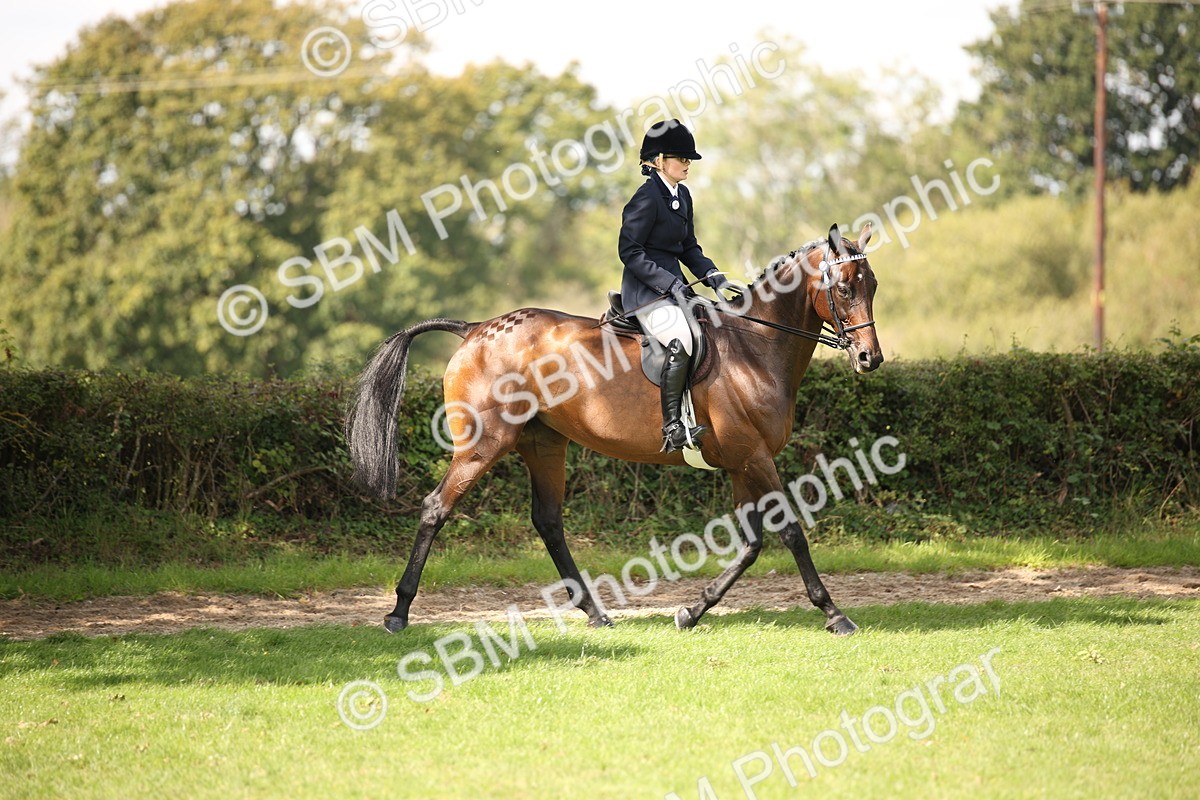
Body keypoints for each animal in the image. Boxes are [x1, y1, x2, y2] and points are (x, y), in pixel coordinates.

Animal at [346, 223, 882, 635]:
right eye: (844, 287)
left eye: (872, 284)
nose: (868, 358)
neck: (755, 347)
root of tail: (475, 329)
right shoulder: (753, 456)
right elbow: (790, 531)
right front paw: (834, 614)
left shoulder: (740, 461)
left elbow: (752, 543)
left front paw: (692, 611)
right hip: (483, 446)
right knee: (436, 508)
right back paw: (398, 613)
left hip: (544, 444)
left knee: (548, 521)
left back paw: (595, 612)